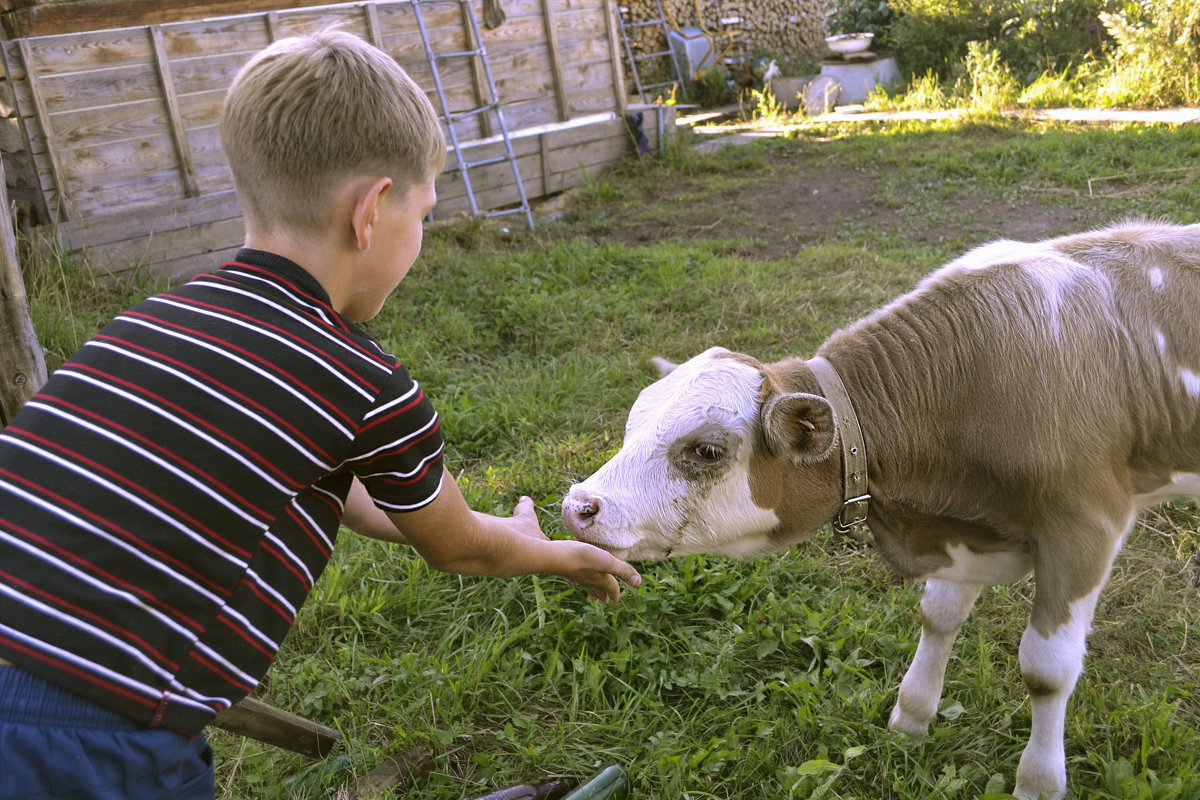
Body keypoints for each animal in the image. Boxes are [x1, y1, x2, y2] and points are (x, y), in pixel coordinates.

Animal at [559, 220, 1200, 800]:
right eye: (631, 424)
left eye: (707, 450)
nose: (577, 507)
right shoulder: (966, 534)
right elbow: (938, 615)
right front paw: (910, 721)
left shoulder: (1086, 527)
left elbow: (1046, 669)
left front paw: (1038, 784)